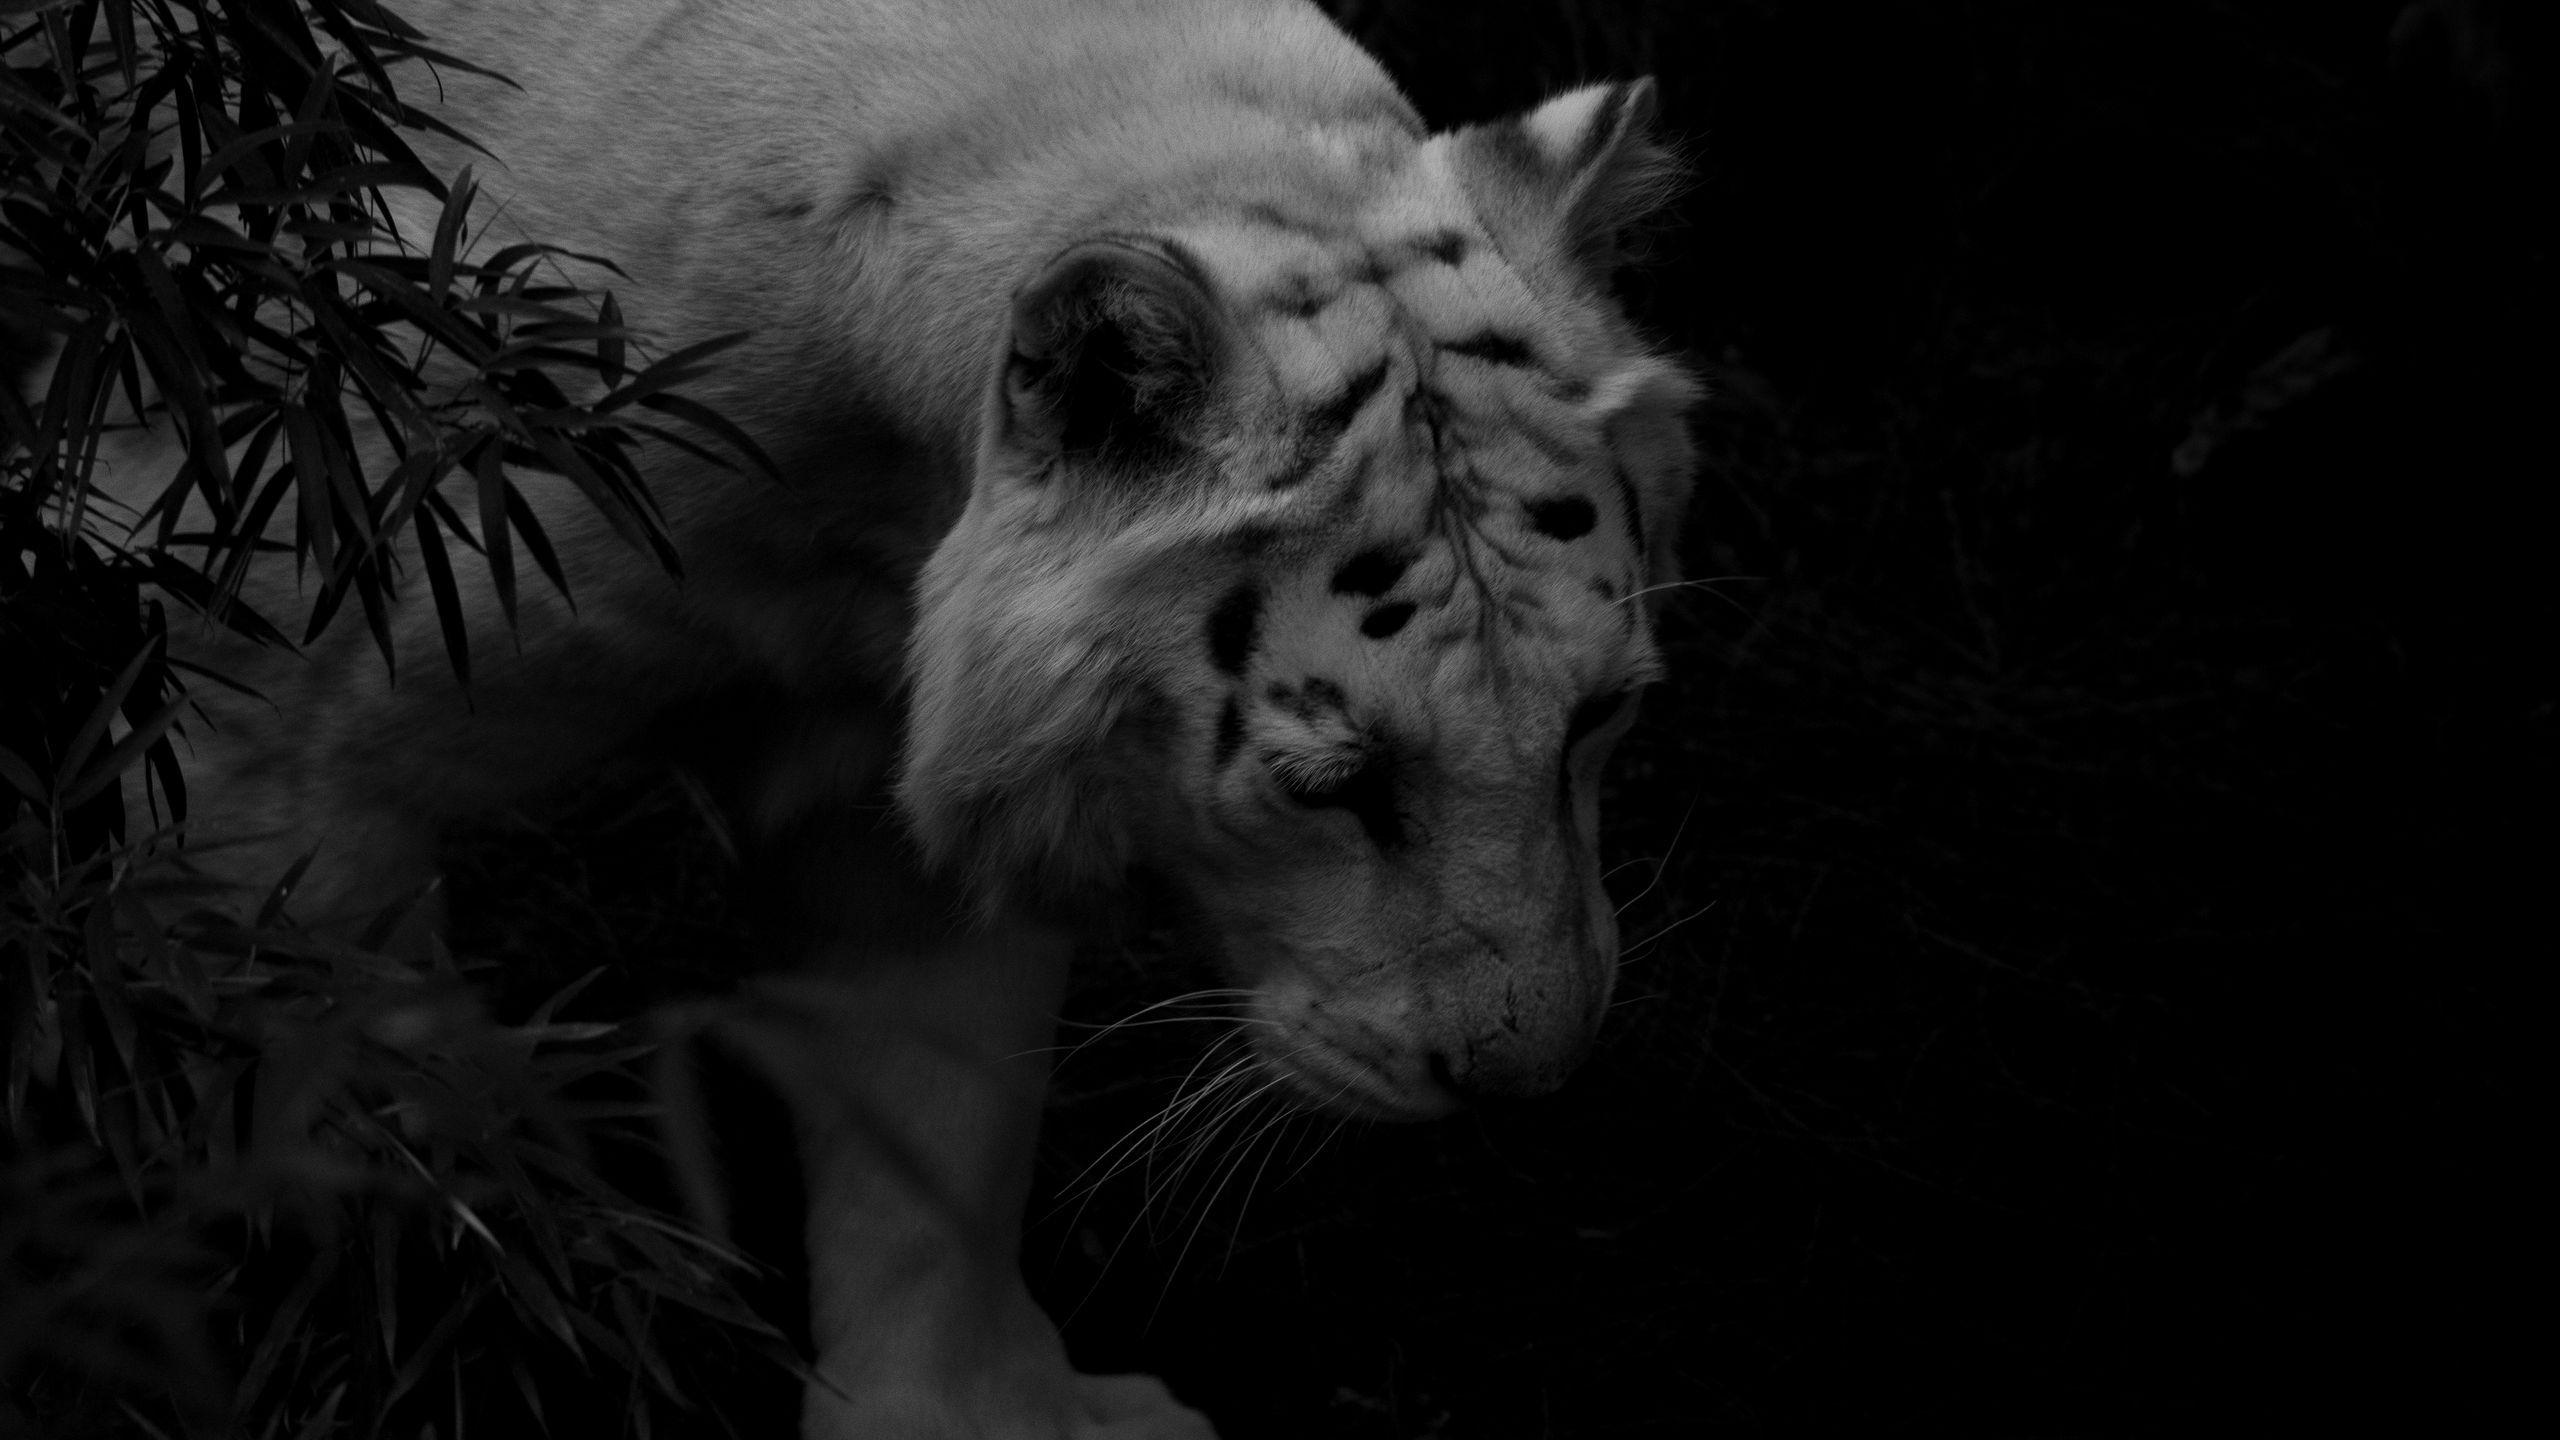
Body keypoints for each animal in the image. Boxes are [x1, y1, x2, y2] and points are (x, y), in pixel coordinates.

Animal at [60, 0, 1701, 1434]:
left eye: (1599, 717)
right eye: (1332, 782)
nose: (1527, 1077)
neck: (862, 499)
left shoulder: (909, 787)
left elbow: (935, 1138)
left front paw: (962, 1412)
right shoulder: (267, 743)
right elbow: (377, 1126)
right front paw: (500, 1312)